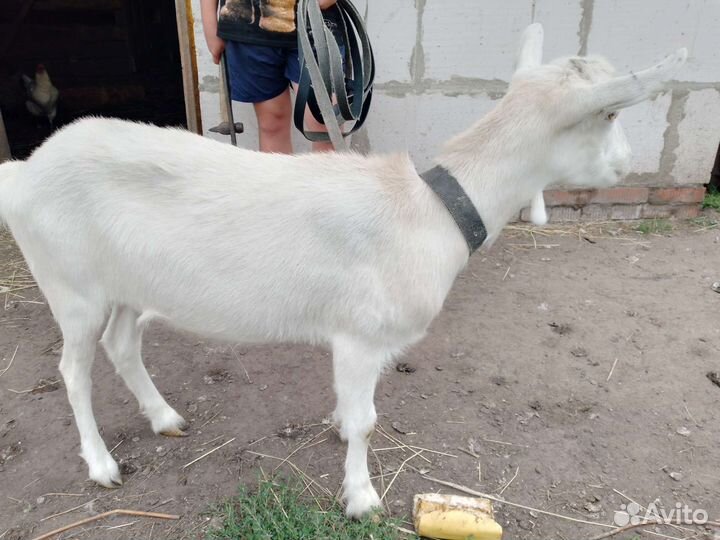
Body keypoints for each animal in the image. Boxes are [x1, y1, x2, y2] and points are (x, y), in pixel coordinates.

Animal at [0, 24, 685, 518]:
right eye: (611, 115)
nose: (626, 165)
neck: (429, 210)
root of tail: (25, 170)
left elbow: (350, 409)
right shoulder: (361, 334)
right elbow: (366, 421)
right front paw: (362, 499)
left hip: (122, 285)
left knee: (122, 344)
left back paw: (165, 418)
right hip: (71, 288)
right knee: (73, 372)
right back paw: (101, 465)